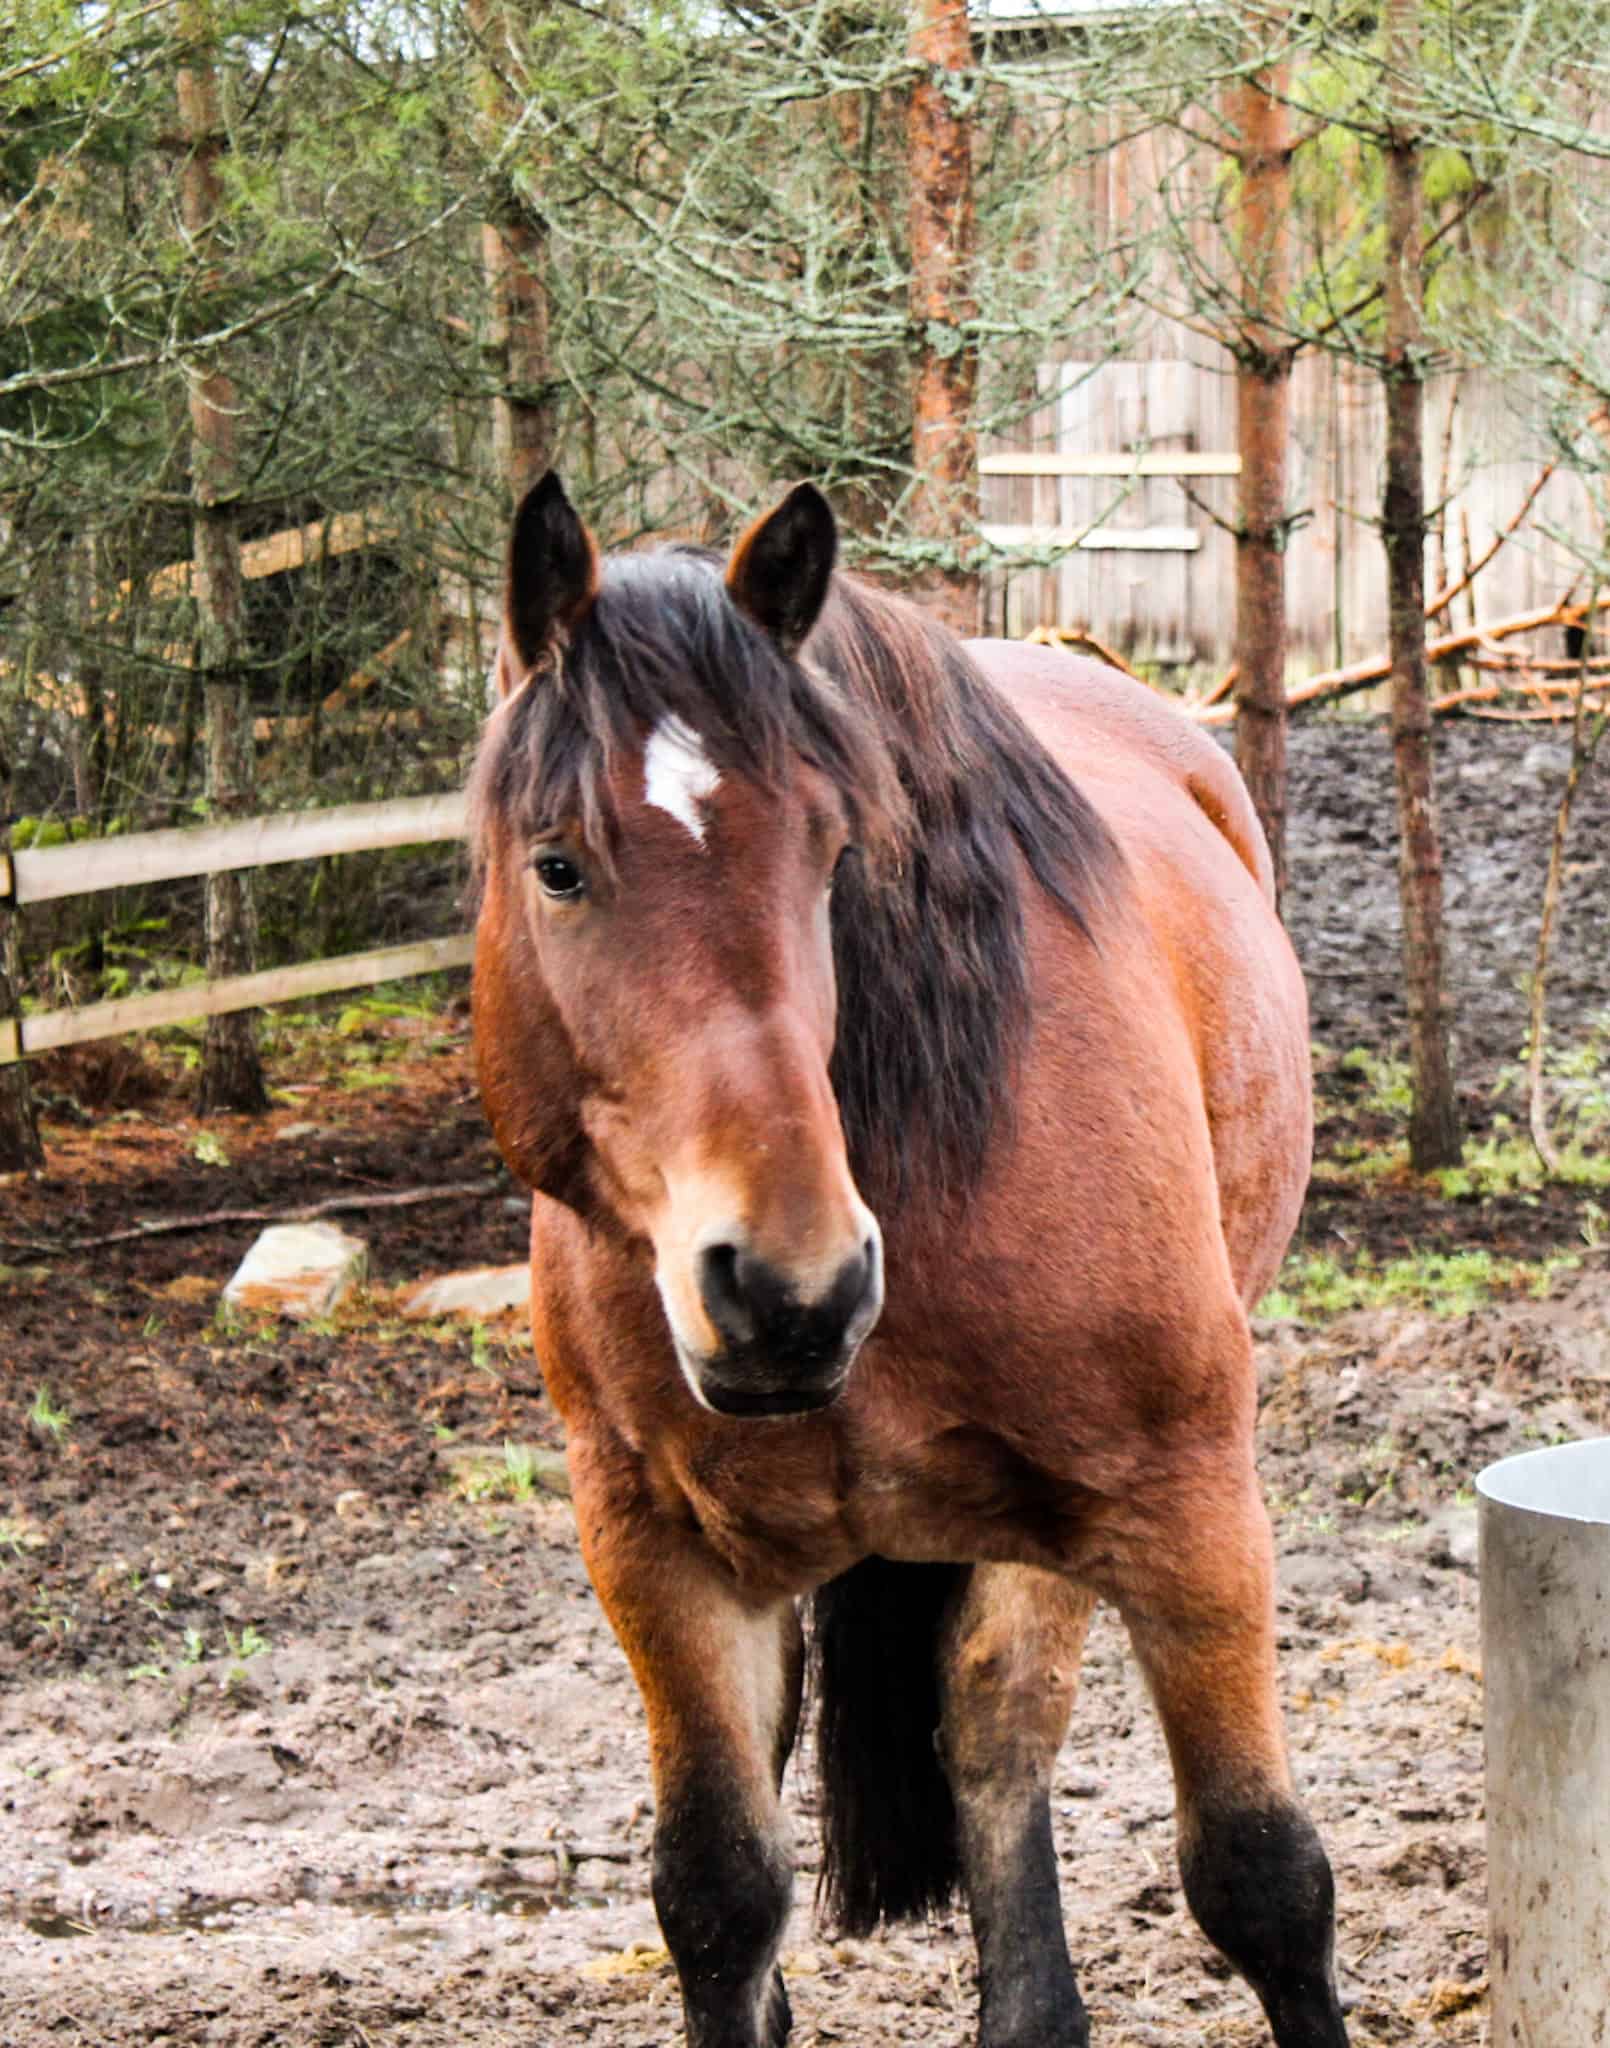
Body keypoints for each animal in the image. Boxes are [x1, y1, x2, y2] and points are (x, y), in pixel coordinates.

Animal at [473, 475, 1343, 2048]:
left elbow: (1261, 1877)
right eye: (556, 864)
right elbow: (718, 1897)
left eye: (831, 854)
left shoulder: (1186, 1506)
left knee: (994, 1728)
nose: (786, 1288)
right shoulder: (653, 1550)